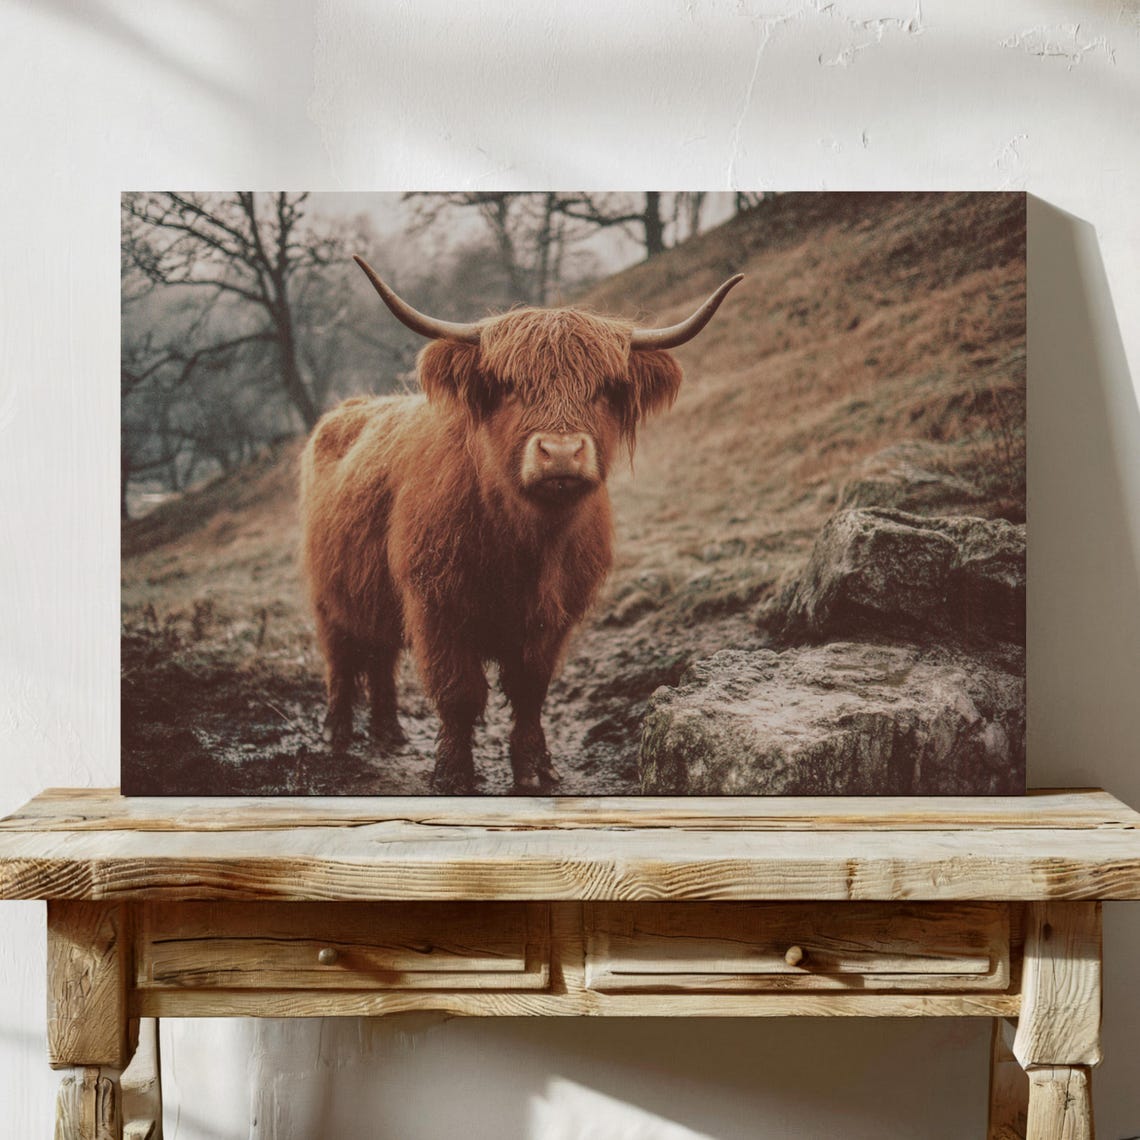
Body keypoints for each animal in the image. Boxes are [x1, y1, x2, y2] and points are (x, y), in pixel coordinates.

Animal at [300, 256, 742, 793]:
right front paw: (454, 774)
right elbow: (459, 694)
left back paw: (389, 733)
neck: (526, 545)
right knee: (341, 661)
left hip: (376, 598)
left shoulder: (552, 618)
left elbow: (530, 691)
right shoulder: (436, 607)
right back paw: (338, 734)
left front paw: (534, 769)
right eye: (509, 386)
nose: (561, 453)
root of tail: (351, 408)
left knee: (381, 659)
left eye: (606, 389)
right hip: (328, 597)